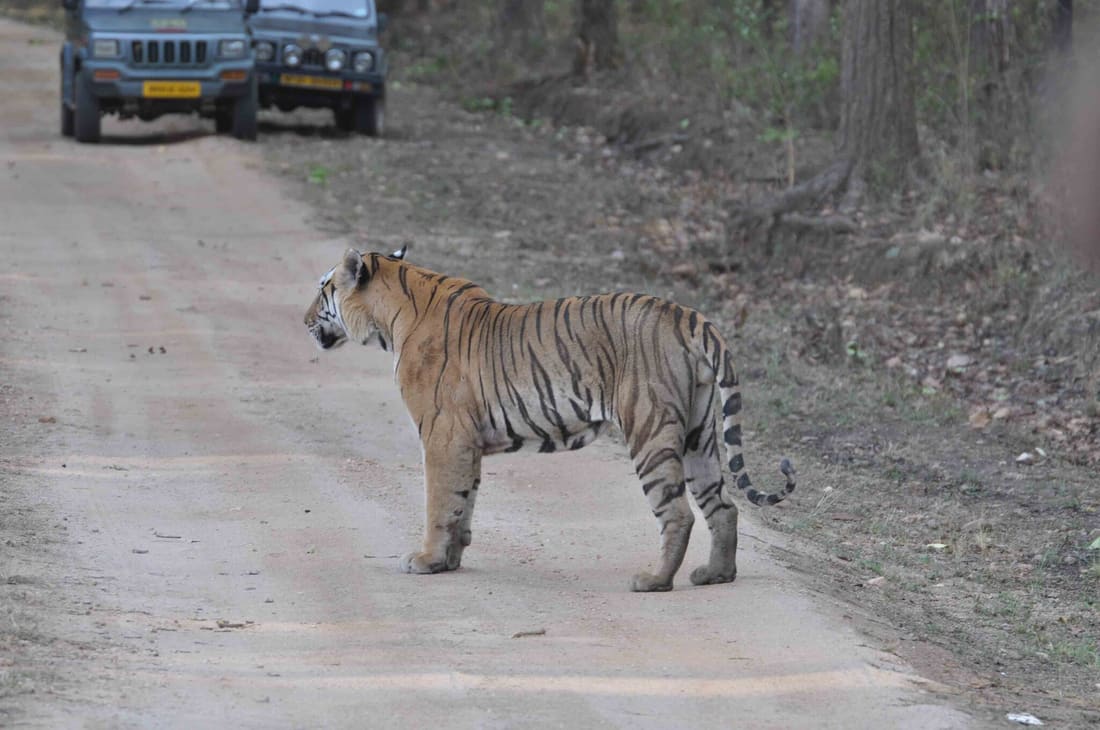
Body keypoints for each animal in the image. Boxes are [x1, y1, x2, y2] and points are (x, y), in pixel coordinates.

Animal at [304, 247, 795, 592]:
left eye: (324, 288)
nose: (305, 320)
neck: (390, 317)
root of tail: (686, 314)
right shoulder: (465, 442)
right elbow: (464, 501)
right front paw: (449, 561)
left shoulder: (443, 436)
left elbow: (439, 504)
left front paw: (426, 560)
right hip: (699, 434)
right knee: (724, 506)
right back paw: (716, 574)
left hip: (651, 430)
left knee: (678, 513)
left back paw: (654, 581)